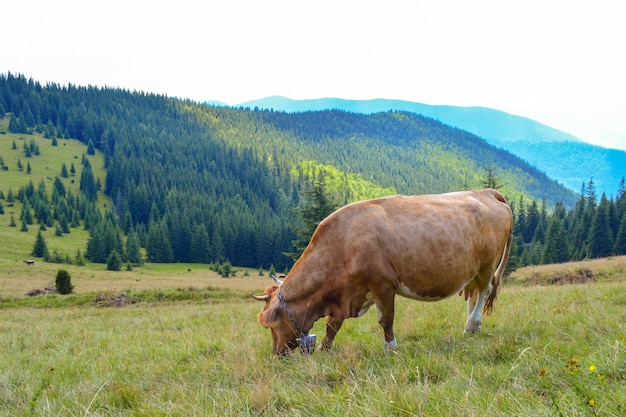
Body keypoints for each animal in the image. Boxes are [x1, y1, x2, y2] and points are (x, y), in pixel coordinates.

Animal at [249, 188, 512, 354]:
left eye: (272, 325)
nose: (276, 353)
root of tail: (486, 191)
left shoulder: (382, 284)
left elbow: (385, 319)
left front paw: (390, 348)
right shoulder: (349, 291)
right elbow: (333, 324)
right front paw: (325, 348)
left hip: (488, 265)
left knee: (485, 291)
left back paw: (473, 324)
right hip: (472, 270)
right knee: (473, 294)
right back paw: (470, 328)